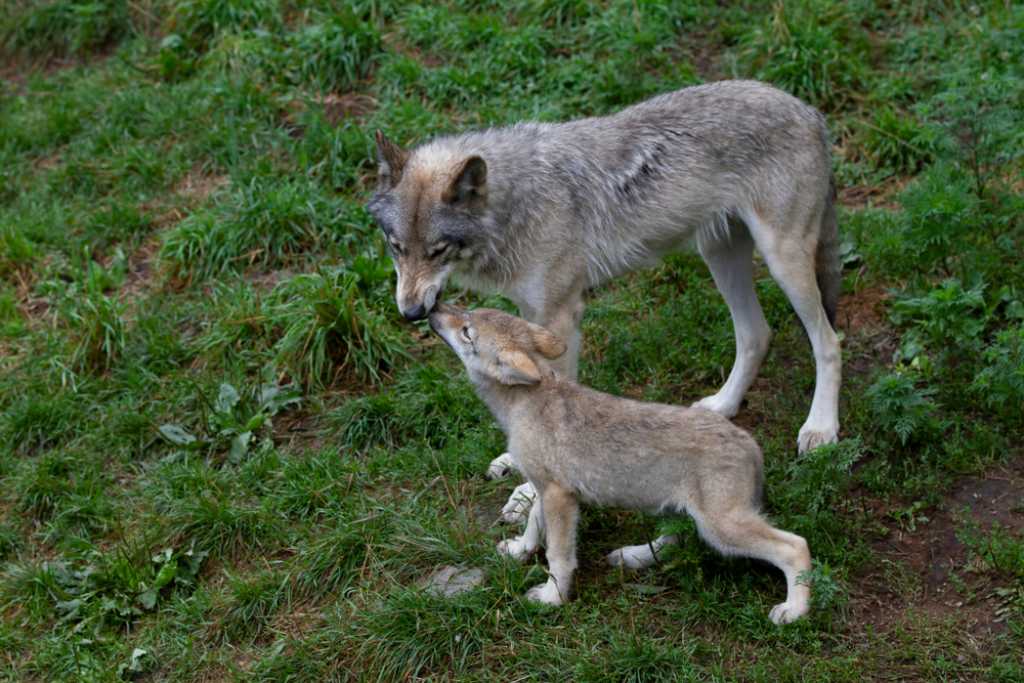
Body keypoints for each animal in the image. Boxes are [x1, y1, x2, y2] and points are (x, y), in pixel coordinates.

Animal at [367, 80, 841, 510]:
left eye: (437, 251)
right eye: (396, 247)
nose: (411, 312)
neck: (515, 207)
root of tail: (811, 111)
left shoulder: (561, 316)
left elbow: (550, 401)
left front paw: (528, 492)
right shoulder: (531, 312)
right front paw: (515, 460)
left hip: (783, 261)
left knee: (829, 341)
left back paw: (820, 428)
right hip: (719, 256)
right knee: (757, 333)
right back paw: (722, 405)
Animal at [429, 303, 813, 624]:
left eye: (467, 331)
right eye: (467, 313)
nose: (432, 309)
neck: (524, 403)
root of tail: (749, 442)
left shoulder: (559, 497)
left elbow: (558, 556)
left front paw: (553, 598)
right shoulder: (545, 488)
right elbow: (533, 529)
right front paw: (519, 552)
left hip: (721, 527)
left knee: (795, 546)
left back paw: (794, 610)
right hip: (683, 511)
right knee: (676, 539)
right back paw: (631, 557)